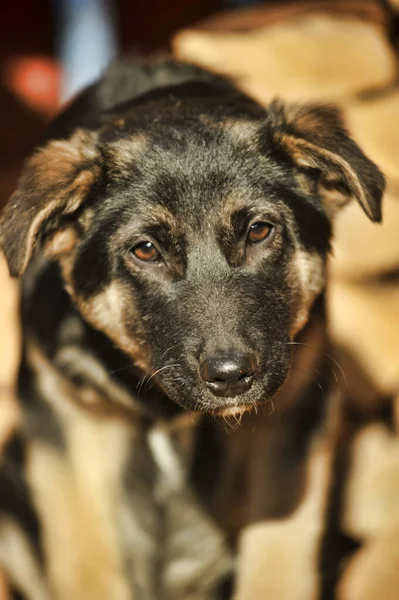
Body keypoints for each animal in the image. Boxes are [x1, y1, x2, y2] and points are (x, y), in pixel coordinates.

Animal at [0, 57, 386, 600]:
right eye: (145, 250)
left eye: (259, 230)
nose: (231, 376)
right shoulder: (67, 415)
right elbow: (88, 563)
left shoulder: (293, 414)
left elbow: (278, 558)